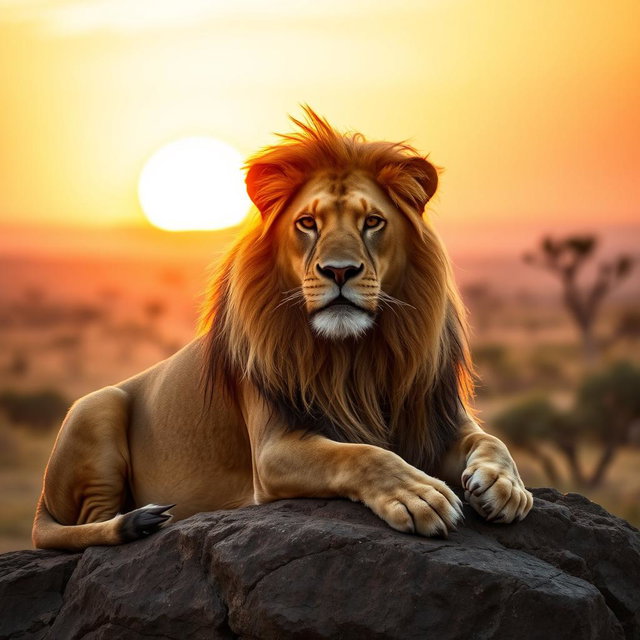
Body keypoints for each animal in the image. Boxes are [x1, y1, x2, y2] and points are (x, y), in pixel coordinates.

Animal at [32, 108, 533, 550]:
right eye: (307, 223)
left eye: (372, 222)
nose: (339, 271)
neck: (357, 355)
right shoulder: (272, 450)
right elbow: (360, 453)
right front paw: (418, 495)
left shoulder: (439, 418)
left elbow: (492, 440)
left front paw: (506, 486)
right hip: (95, 407)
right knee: (84, 527)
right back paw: (138, 520)